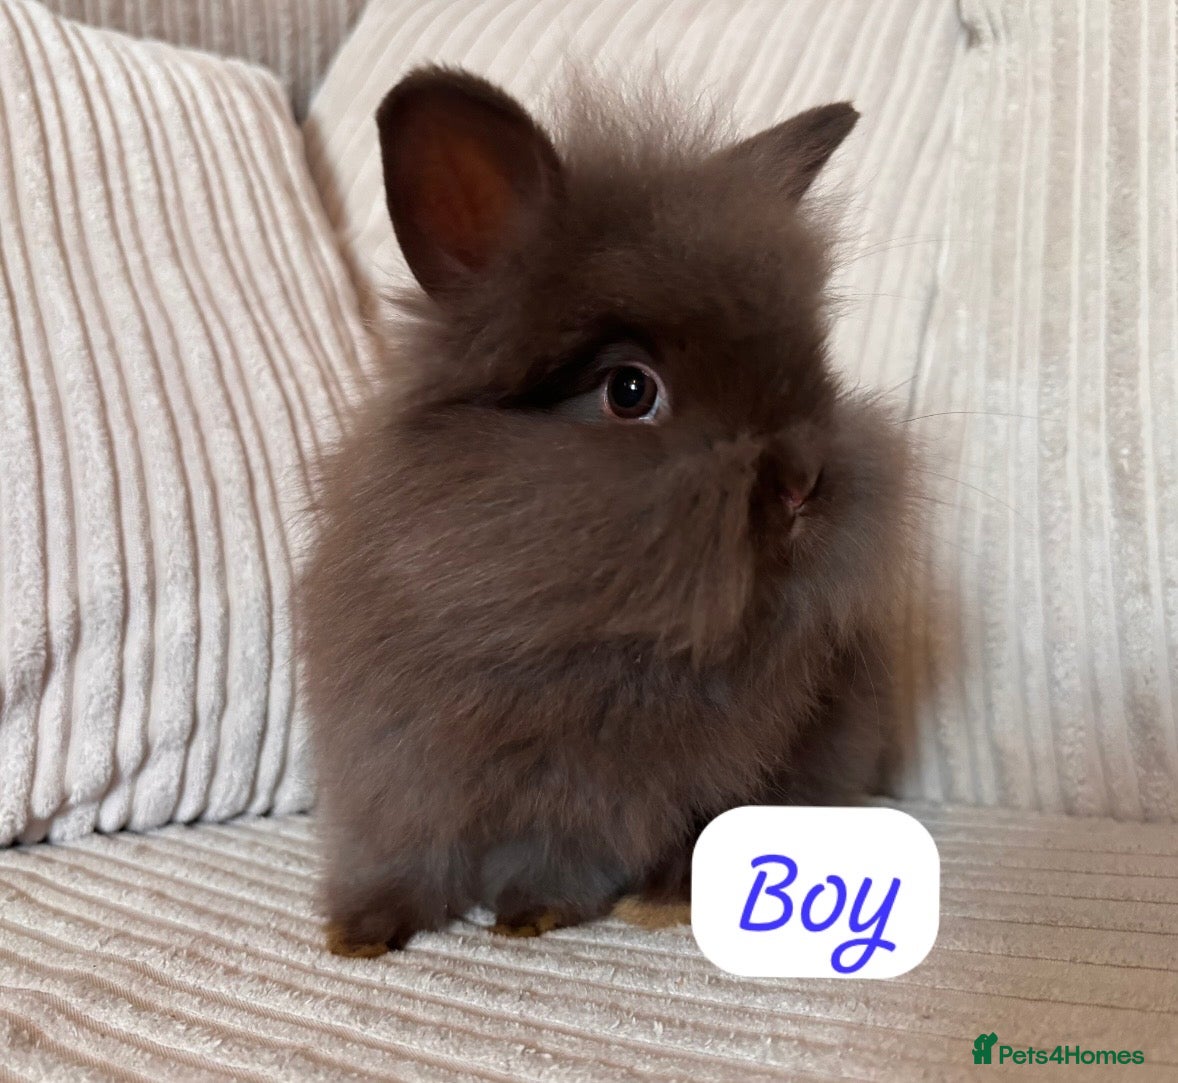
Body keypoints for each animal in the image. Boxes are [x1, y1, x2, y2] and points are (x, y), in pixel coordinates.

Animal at [297, 65, 917, 956]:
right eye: (629, 390)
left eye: (816, 371)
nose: (802, 487)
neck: (558, 617)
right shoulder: (395, 762)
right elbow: (405, 852)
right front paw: (361, 929)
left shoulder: (593, 792)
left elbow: (562, 854)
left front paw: (528, 913)